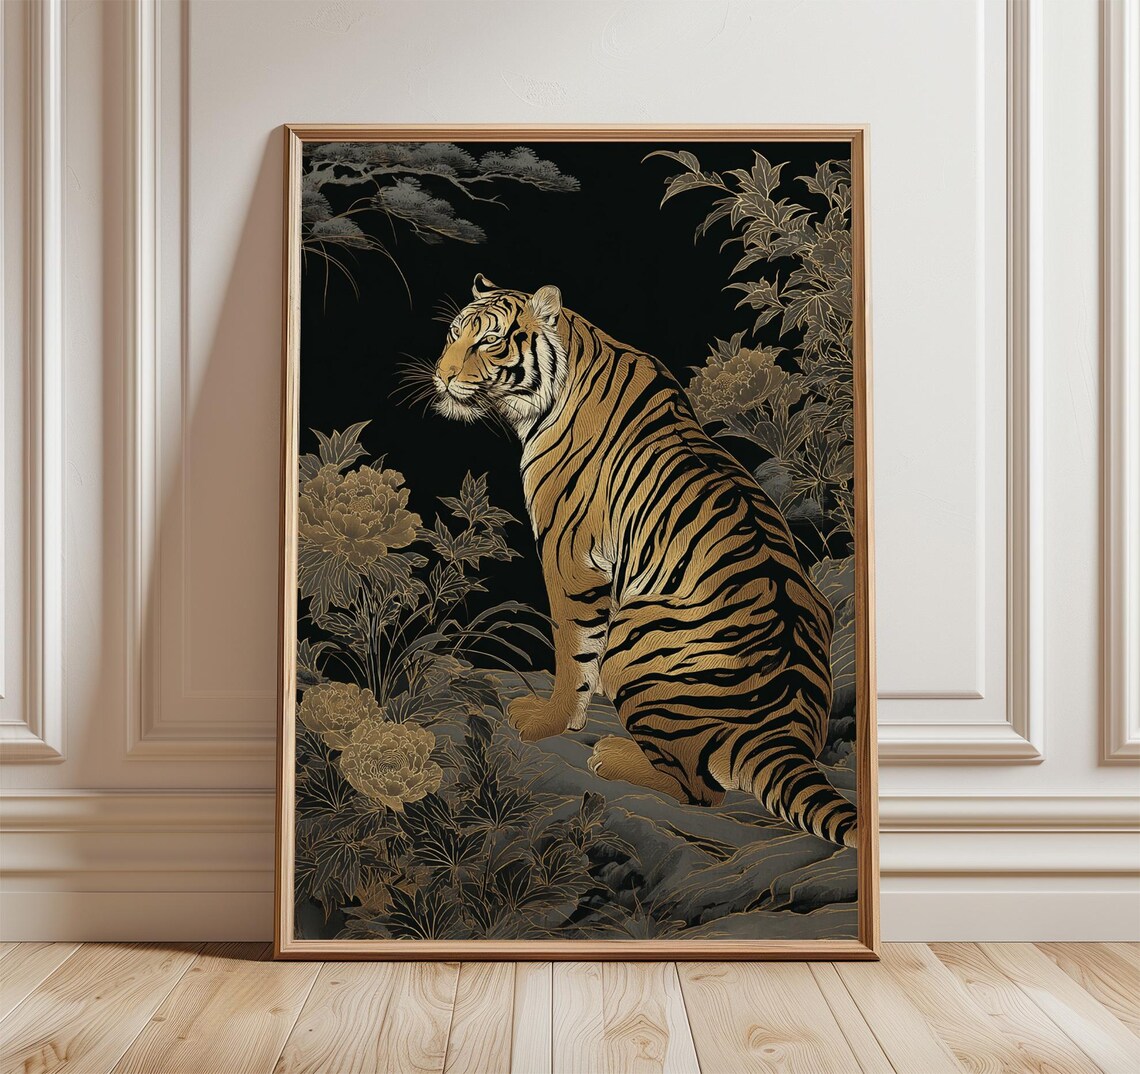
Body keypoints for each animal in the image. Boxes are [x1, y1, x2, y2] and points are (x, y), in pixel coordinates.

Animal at [429, 273, 857, 848]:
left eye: (490, 341)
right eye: (454, 334)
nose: (442, 376)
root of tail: (781, 736)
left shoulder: (568, 553)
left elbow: (571, 650)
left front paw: (547, 722)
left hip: (632, 642)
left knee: (699, 788)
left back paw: (612, 756)